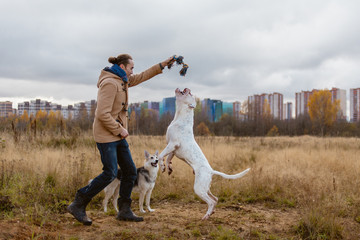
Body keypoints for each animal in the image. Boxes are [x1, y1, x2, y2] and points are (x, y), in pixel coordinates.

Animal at [160, 88, 250, 219]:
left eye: (190, 94)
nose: (188, 89)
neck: (180, 117)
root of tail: (211, 171)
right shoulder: (173, 148)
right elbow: (167, 158)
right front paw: (168, 168)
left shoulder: (172, 144)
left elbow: (160, 155)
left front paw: (161, 165)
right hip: (205, 188)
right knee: (215, 198)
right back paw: (210, 213)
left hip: (199, 188)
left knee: (211, 201)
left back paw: (206, 216)